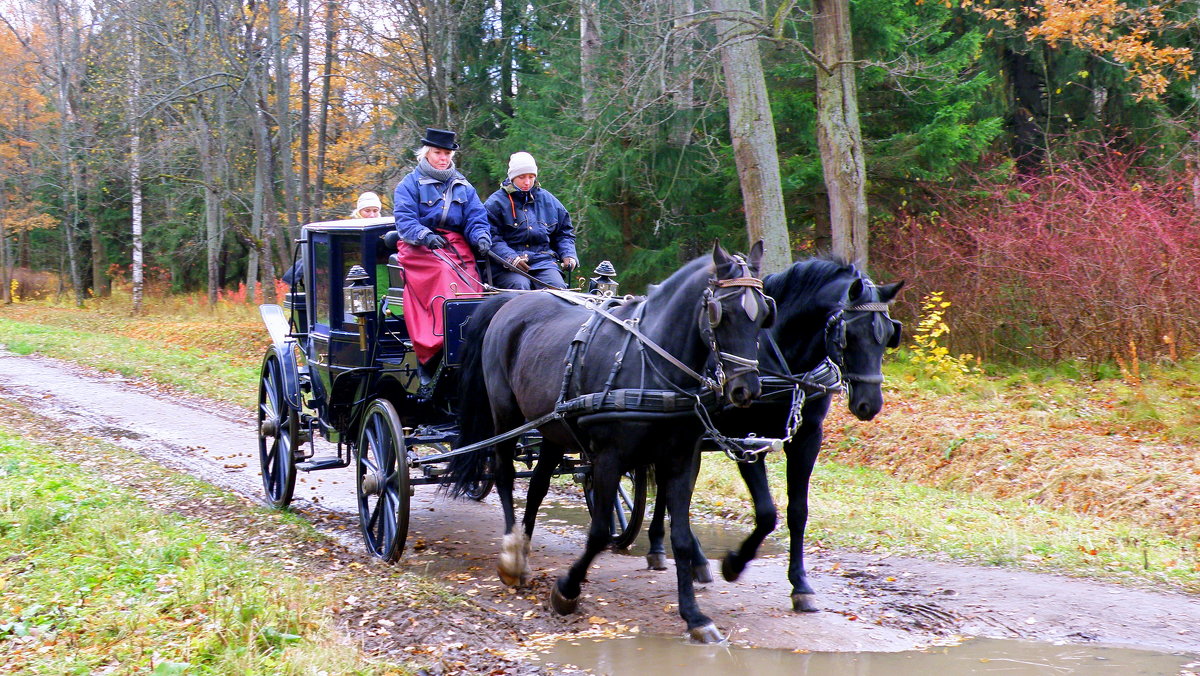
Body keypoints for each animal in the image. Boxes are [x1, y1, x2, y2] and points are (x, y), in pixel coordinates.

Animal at [448, 242, 768, 638]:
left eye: (763, 313)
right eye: (719, 313)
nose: (746, 389)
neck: (653, 364)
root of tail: (509, 301)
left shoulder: (681, 460)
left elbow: (679, 537)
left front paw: (694, 615)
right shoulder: (608, 459)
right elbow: (599, 531)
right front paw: (567, 590)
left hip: (553, 428)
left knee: (537, 486)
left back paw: (524, 544)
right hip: (507, 417)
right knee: (505, 475)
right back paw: (511, 555)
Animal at [648, 255, 902, 614]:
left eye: (888, 334)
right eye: (849, 334)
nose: (870, 404)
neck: (782, 359)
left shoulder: (808, 437)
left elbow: (798, 512)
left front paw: (801, 586)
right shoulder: (745, 440)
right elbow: (767, 513)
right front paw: (734, 563)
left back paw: (672, 552)